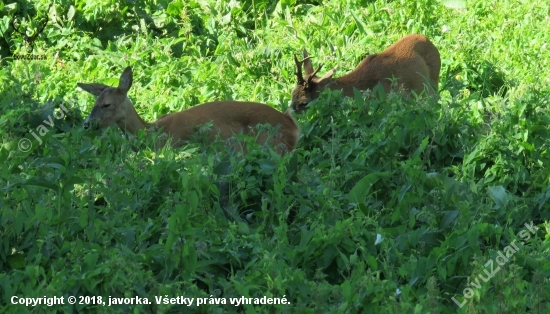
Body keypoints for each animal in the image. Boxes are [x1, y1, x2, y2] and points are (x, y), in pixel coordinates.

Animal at [79, 66, 300, 155]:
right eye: (94, 102)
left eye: (107, 104)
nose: (87, 124)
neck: (154, 131)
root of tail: (293, 126)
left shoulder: (176, 144)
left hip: (271, 144)